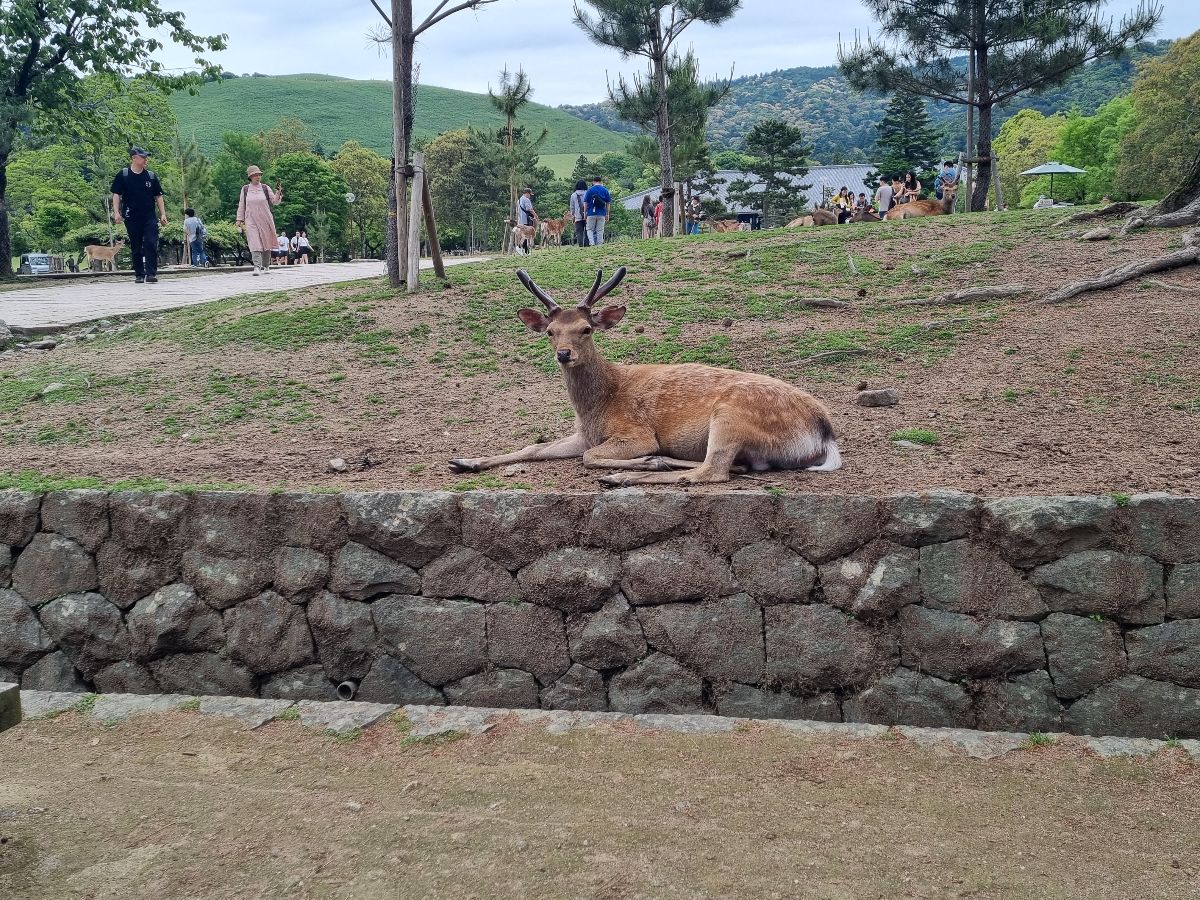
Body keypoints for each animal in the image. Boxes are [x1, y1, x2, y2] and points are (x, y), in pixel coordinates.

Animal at [448, 267, 842, 487]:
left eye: (586, 329)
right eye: (550, 332)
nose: (564, 354)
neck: (596, 407)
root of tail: (824, 431)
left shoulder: (634, 432)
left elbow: (588, 457)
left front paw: (638, 461)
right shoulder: (583, 434)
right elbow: (534, 448)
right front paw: (465, 461)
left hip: (732, 416)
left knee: (711, 471)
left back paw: (624, 475)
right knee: (739, 466)